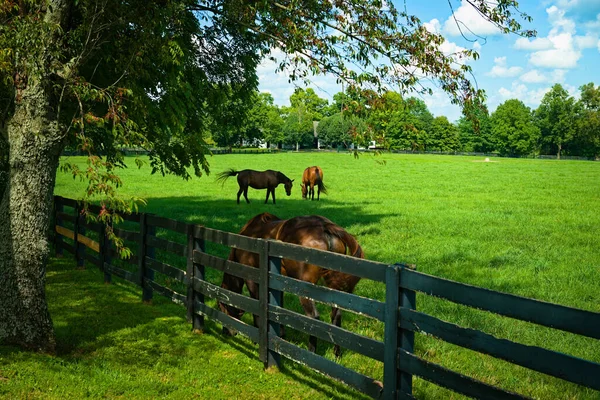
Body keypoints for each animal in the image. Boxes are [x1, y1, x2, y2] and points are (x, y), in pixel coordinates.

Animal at [218, 212, 364, 356]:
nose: (225, 332)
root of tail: (323, 225)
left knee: (313, 317)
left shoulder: (252, 280)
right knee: (336, 315)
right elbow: (278, 308)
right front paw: (281, 336)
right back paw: (337, 353)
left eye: (221, 306)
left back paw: (311, 352)